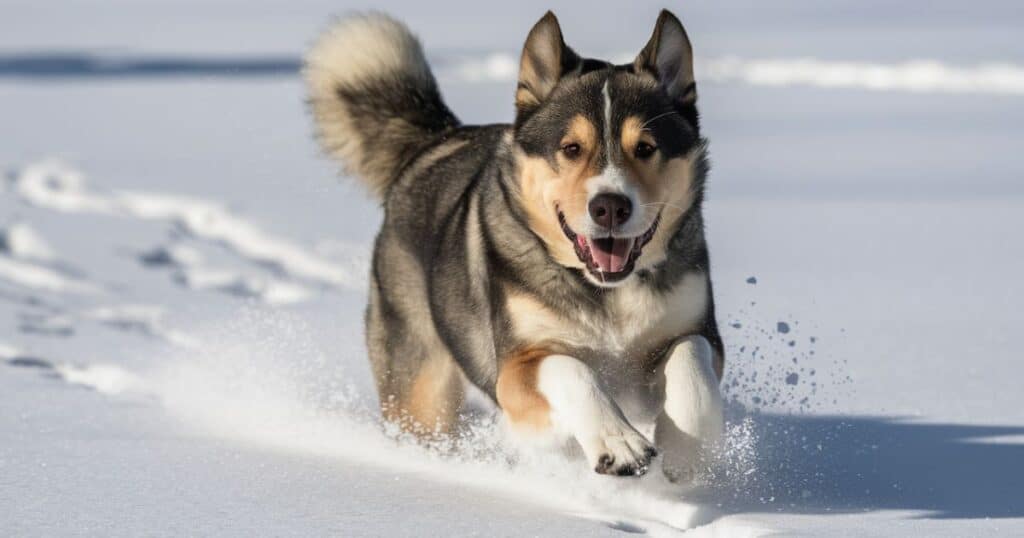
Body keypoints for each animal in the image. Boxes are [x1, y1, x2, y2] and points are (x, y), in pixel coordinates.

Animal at [305, 8, 729, 477]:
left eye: (647, 147)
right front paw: (619, 443)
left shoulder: (694, 327)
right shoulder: (516, 368)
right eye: (571, 148)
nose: (610, 207)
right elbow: (569, 368)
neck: (606, 292)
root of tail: (433, 143)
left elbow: (692, 361)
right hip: (420, 389)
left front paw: (690, 451)